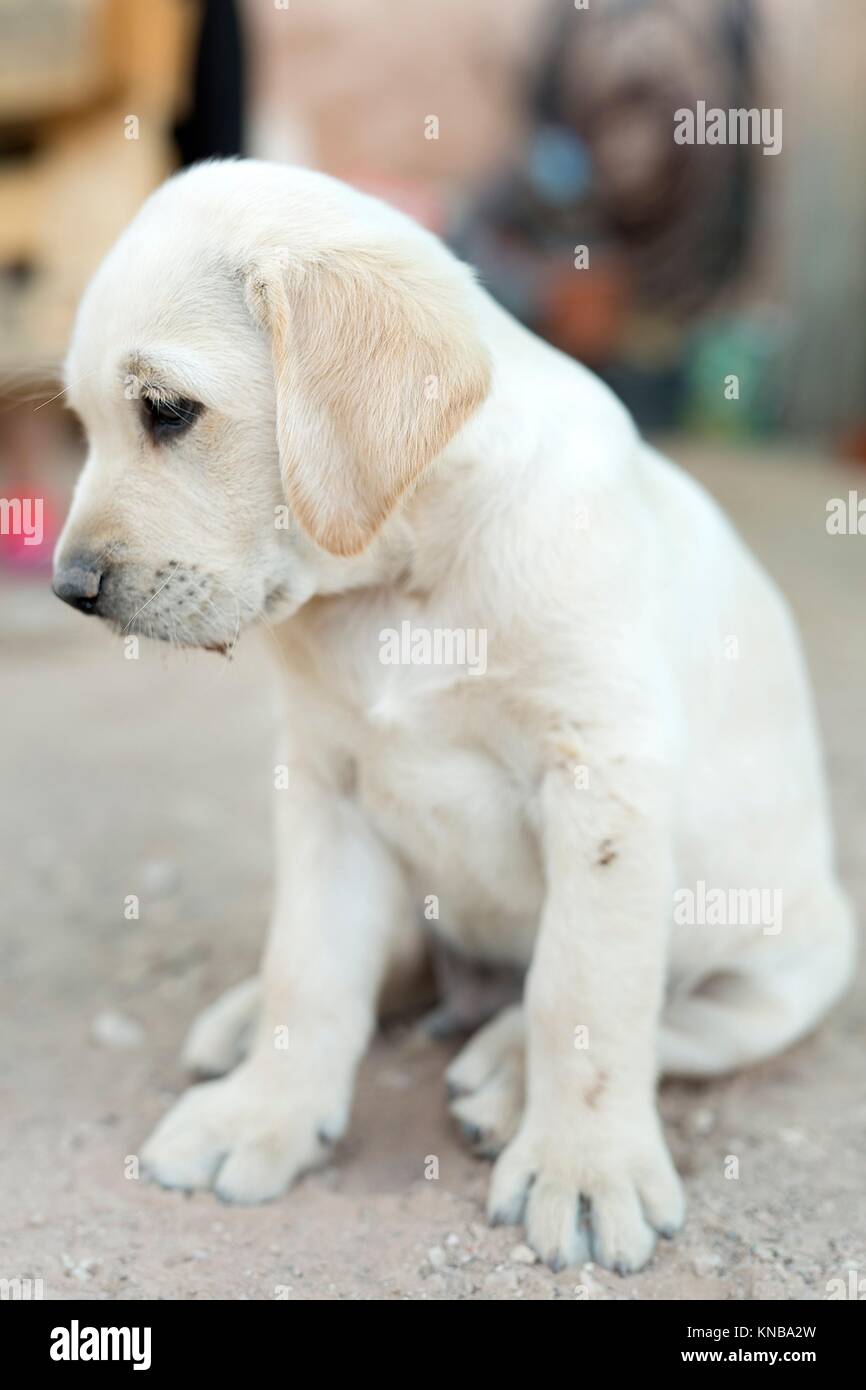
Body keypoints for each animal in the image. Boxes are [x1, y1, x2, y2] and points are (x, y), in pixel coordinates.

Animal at [55, 159, 861, 1273]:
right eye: (84, 424)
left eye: (167, 410)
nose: (68, 588)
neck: (401, 575)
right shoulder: (324, 783)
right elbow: (309, 968)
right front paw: (265, 1111)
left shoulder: (602, 778)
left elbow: (585, 993)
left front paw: (584, 1168)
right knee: (391, 965)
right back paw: (249, 1023)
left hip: (778, 971)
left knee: (649, 1021)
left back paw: (503, 1069)